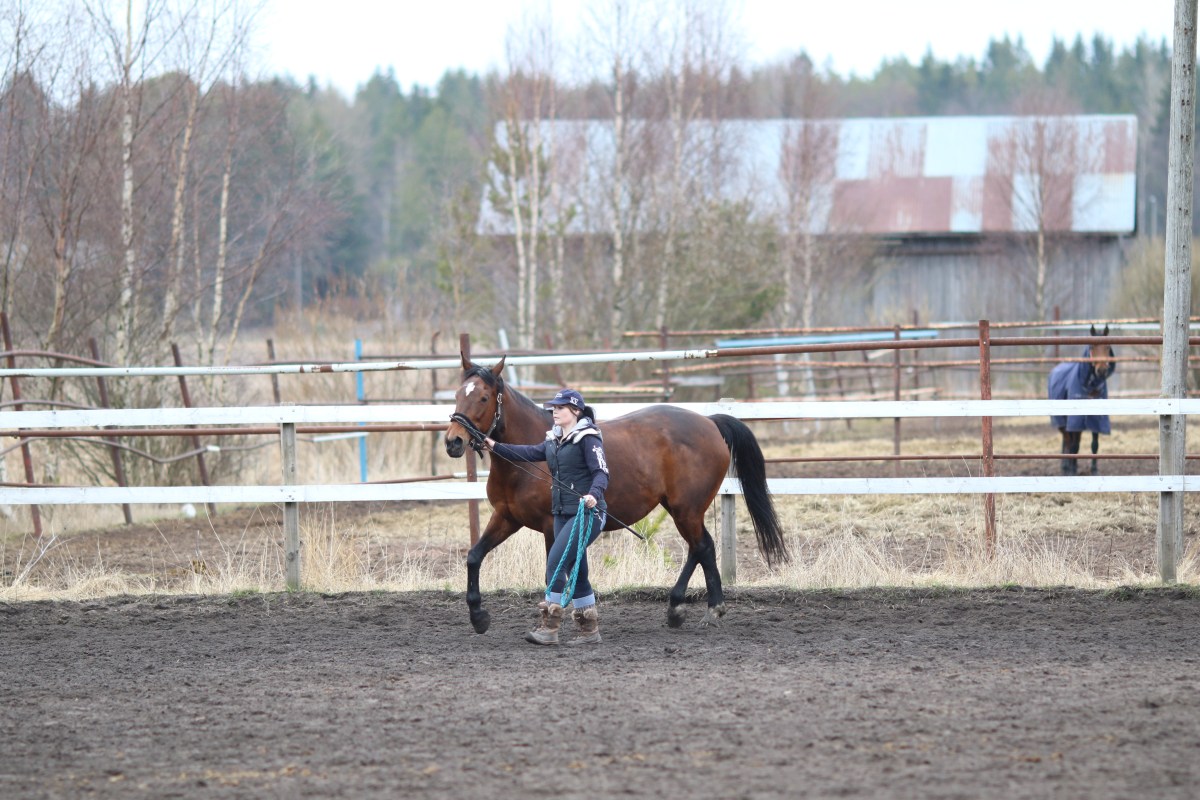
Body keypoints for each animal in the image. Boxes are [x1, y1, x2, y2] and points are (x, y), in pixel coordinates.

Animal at [444, 354, 789, 634]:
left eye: (484, 397)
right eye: (458, 395)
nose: (453, 442)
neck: (532, 456)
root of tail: (709, 421)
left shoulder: (551, 526)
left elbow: (554, 572)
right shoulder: (506, 518)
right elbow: (474, 557)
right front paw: (478, 616)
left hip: (686, 509)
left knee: (702, 546)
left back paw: (704, 609)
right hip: (682, 509)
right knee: (699, 548)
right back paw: (682, 608)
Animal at [1048, 324, 1115, 476]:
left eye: (1108, 346)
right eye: (1091, 347)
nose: (1101, 370)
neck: (1090, 387)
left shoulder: (1096, 419)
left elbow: (1094, 444)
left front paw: (1094, 470)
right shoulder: (1075, 420)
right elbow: (1074, 446)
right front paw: (1072, 470)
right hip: (1062, 422)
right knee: (1068, 441)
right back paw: (1066, 468)